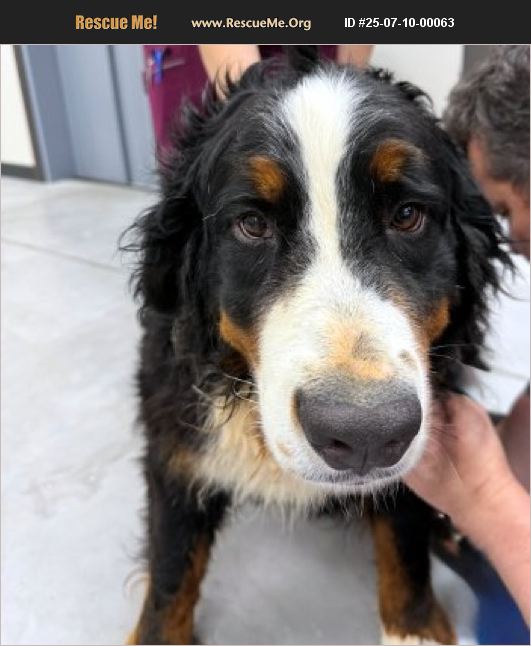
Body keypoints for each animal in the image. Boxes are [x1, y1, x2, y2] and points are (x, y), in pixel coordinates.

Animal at [126, 47, 508, 644]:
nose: (367, 434)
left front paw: (415, 624)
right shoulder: (176, 453)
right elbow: (170, 576)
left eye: (407, 215)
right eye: (252, 224)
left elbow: (404, 546)